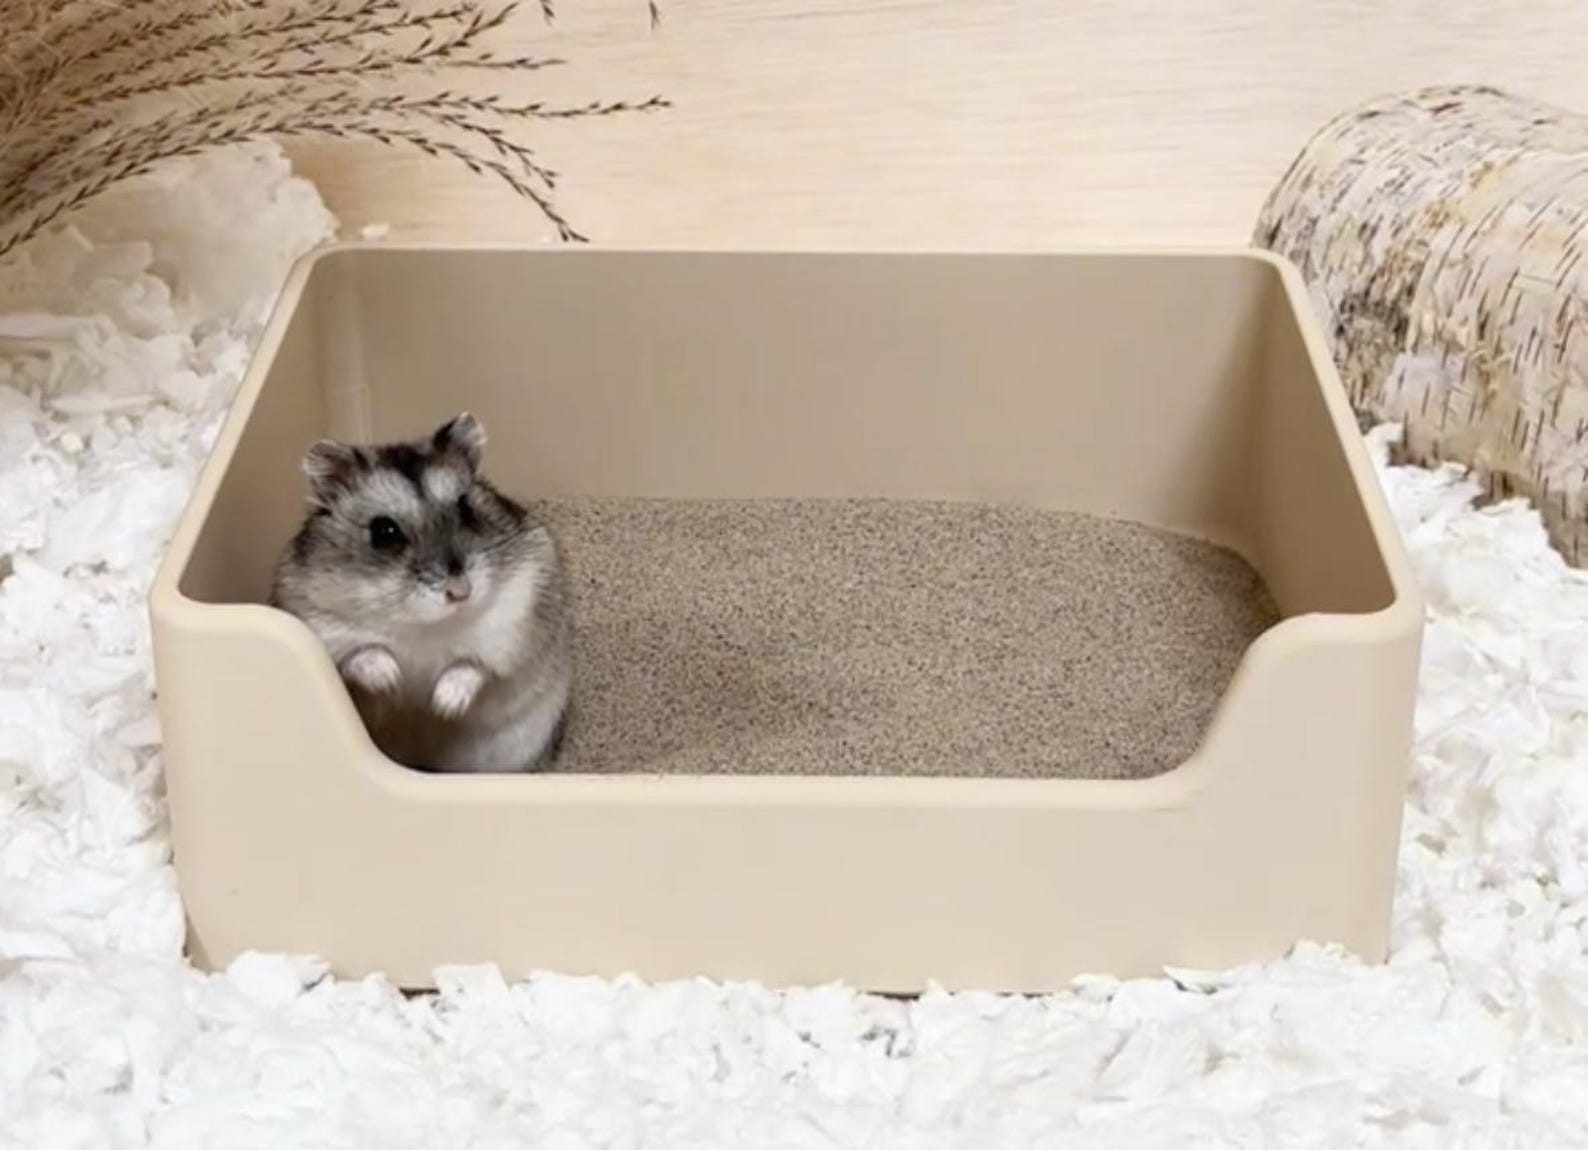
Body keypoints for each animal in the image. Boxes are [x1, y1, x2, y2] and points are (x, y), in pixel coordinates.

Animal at [270, 412, 571, 773]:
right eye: (383, 532)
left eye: (466, 508)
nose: (461, 592)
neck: (423, 626)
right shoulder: (321, 622)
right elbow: (362, 654)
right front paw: (392, 680)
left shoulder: (514, 627)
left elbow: (473, 667)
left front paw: (443, 706)